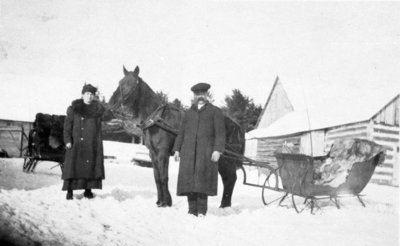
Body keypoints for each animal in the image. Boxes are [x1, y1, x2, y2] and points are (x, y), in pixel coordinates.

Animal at [109, 66, 245, 208]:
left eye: (133, 83)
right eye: (120, 82)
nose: (114, 104)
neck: (157, 119)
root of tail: (237, 125)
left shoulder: (163, 153)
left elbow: (164, 177)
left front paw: (166, 202)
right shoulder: (153, 153)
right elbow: (157, 177)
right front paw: (160, 201)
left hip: (226, 160)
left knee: (231, 179)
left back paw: (224, 206)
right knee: (228, 179)